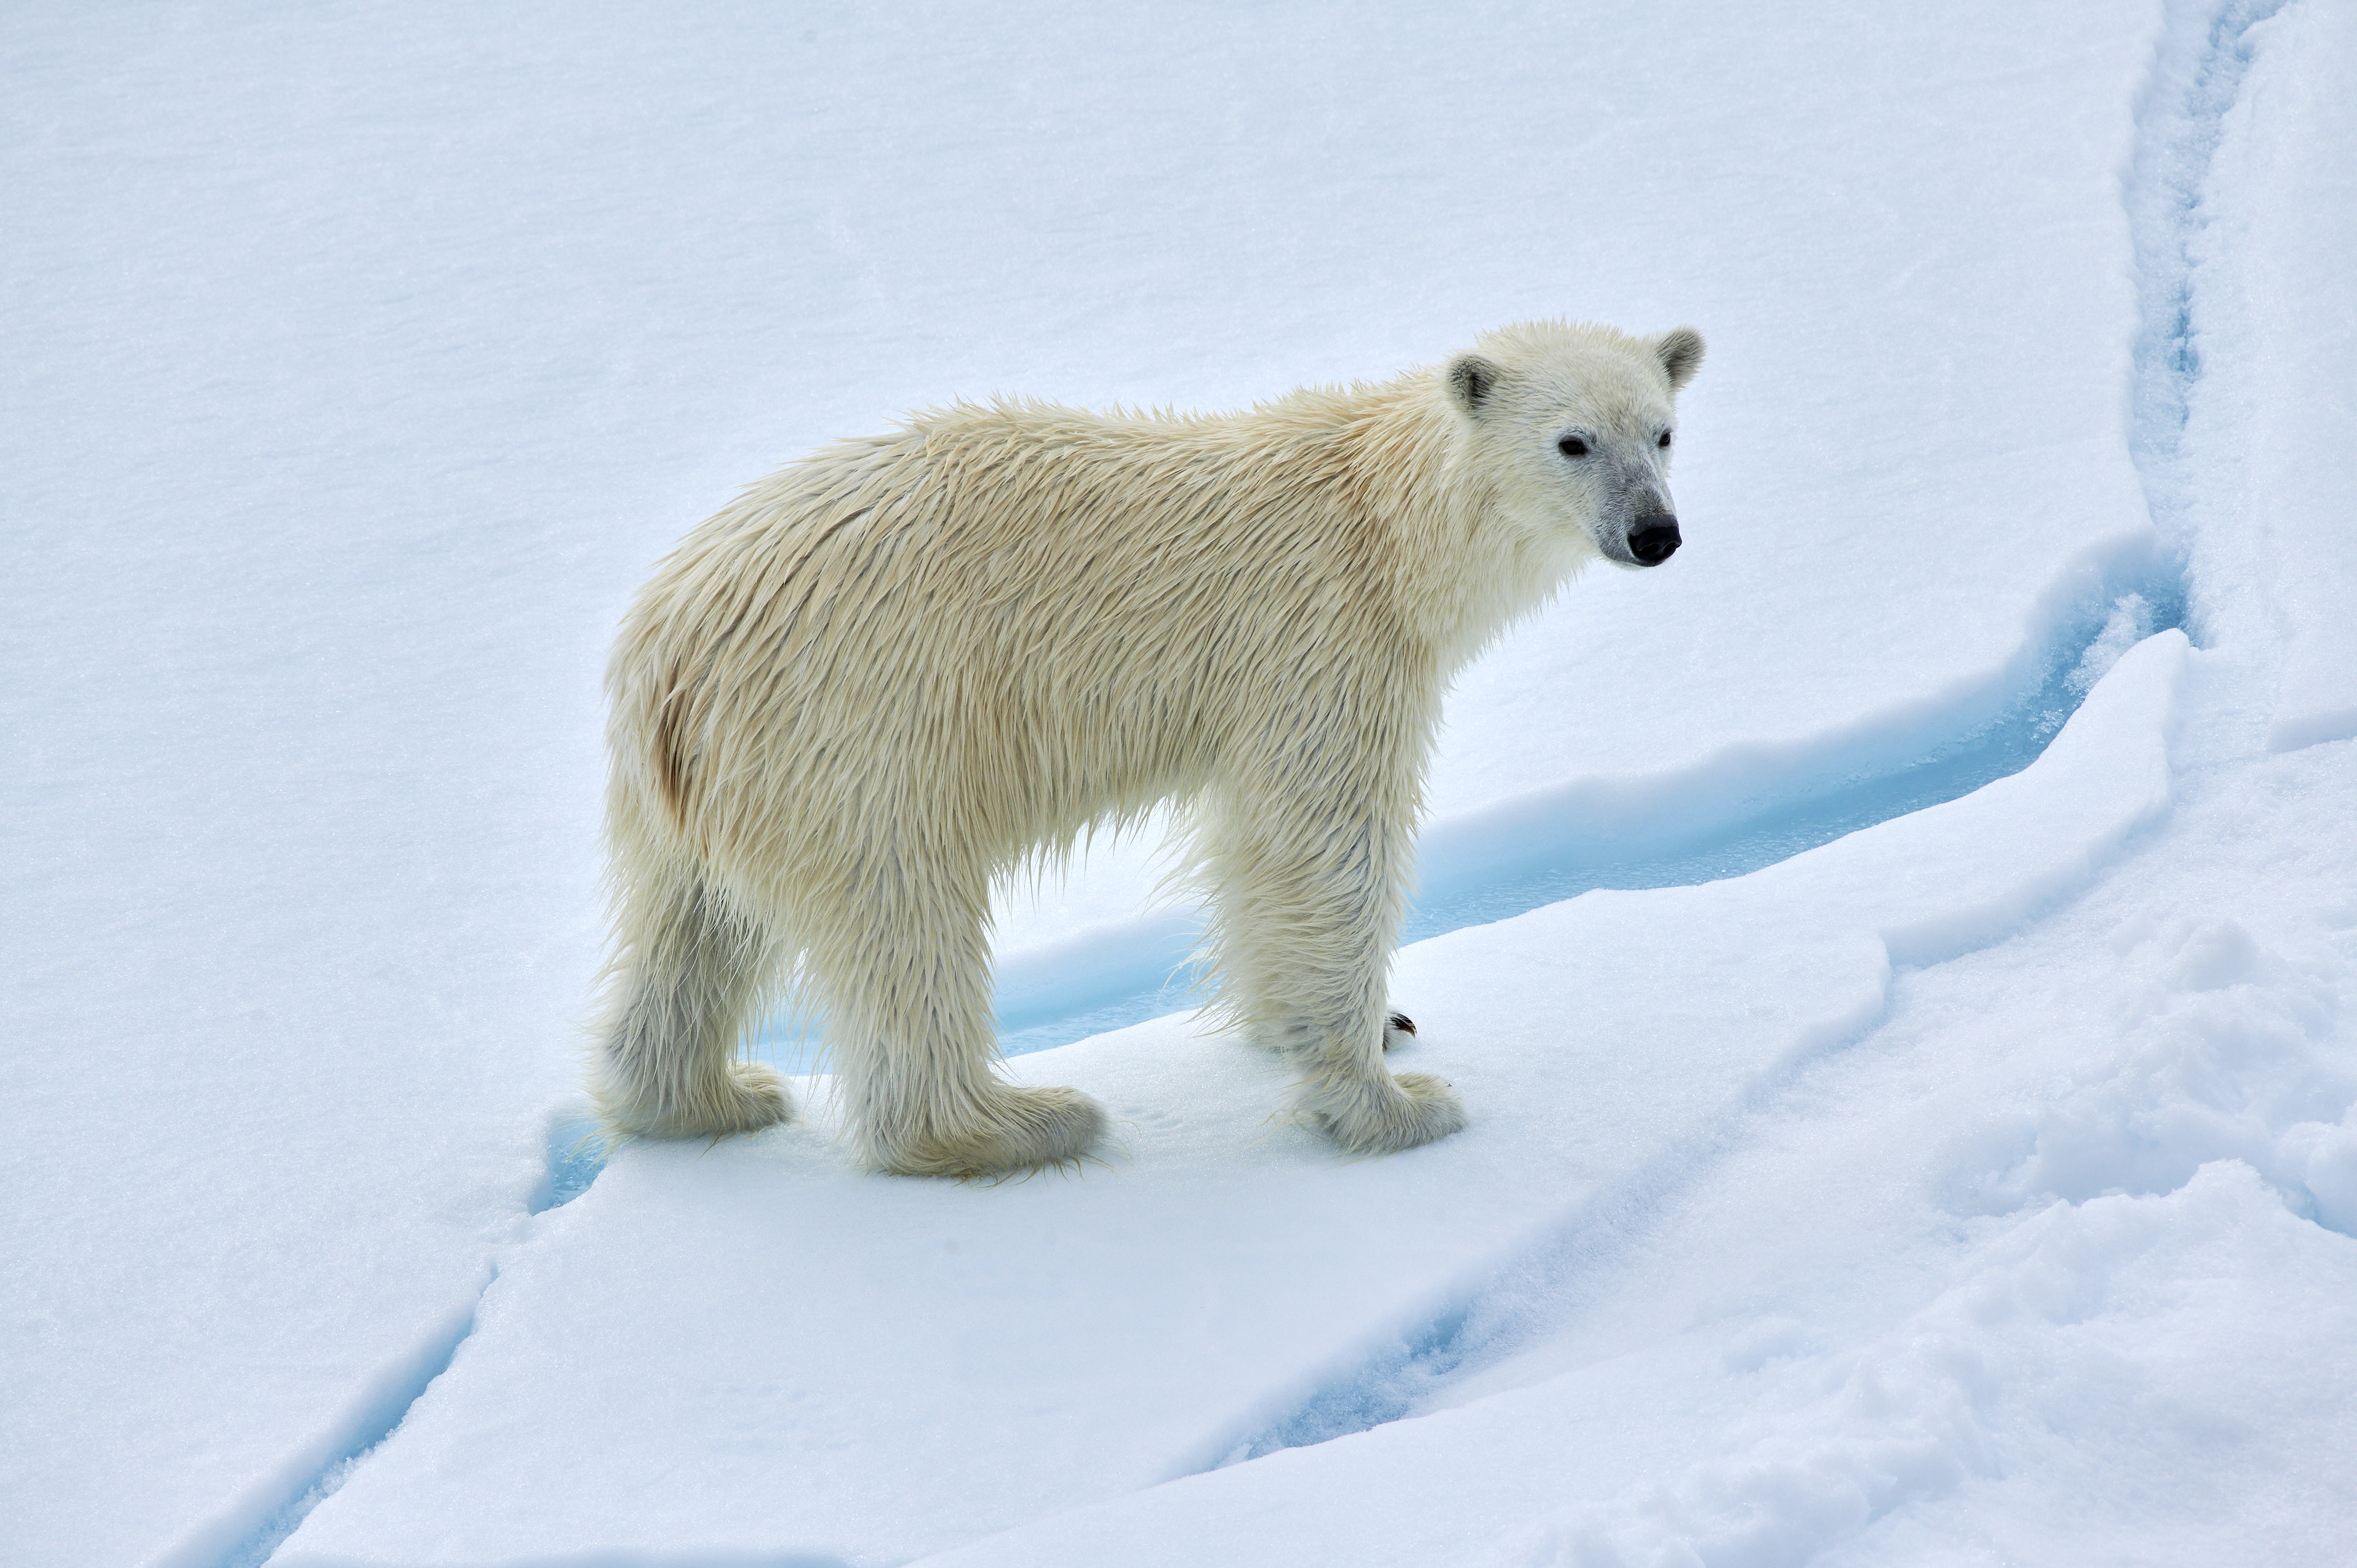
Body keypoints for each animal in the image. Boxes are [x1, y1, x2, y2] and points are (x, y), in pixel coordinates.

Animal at [594, 319, 1704, 1176]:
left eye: (1663, 432)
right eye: (1572, 442)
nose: (1656, 534)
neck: (1384, 530)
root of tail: (672, 643)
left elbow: (1256, 843)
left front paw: (1340, 1025)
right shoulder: (1327, 644)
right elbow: (1330, 849)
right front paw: (1394, 1103)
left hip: (707, 777)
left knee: (691, 929)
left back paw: (710, 1095)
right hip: (864, 724)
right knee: (902, 912)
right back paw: (1023, 1122)